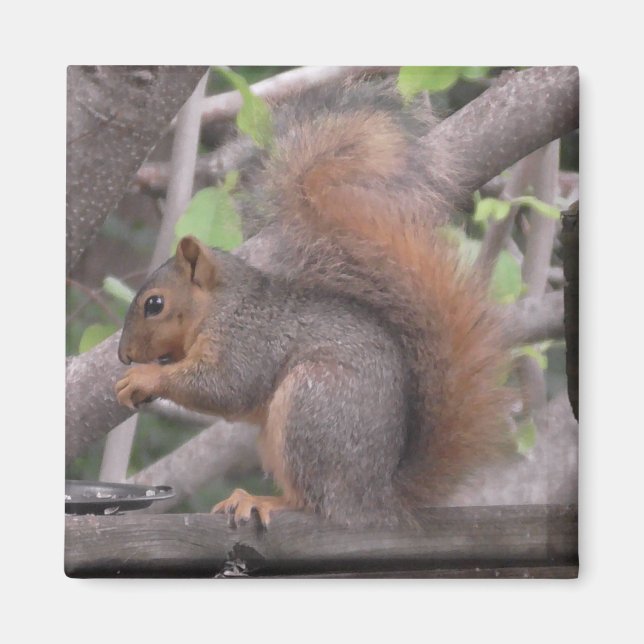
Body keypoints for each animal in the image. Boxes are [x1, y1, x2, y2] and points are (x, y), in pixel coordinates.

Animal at [115, 80, 512, 528]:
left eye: (154, 304)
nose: (124, 355)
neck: (221, 306)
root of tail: (374, 498)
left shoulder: (246, 342)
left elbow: (225, 388)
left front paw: (145, 378)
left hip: (312, 406)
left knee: (315, 502)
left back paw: (266, 501)